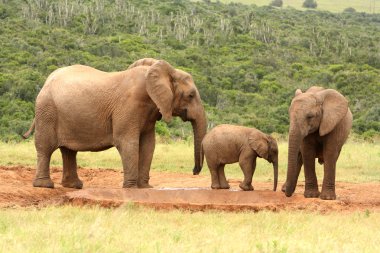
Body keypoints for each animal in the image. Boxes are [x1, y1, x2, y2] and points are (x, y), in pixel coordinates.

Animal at [23, 58, 208, 188]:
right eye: (191, 95)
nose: (194, 172)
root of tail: (46, 81)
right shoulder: (128, 106)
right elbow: (127, 142)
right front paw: (131, 188)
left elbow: (148, 144)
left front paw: (145, 187)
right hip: (47, 110)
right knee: (46, 147)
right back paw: (45, 185)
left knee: (69, 151)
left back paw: (74, 186)